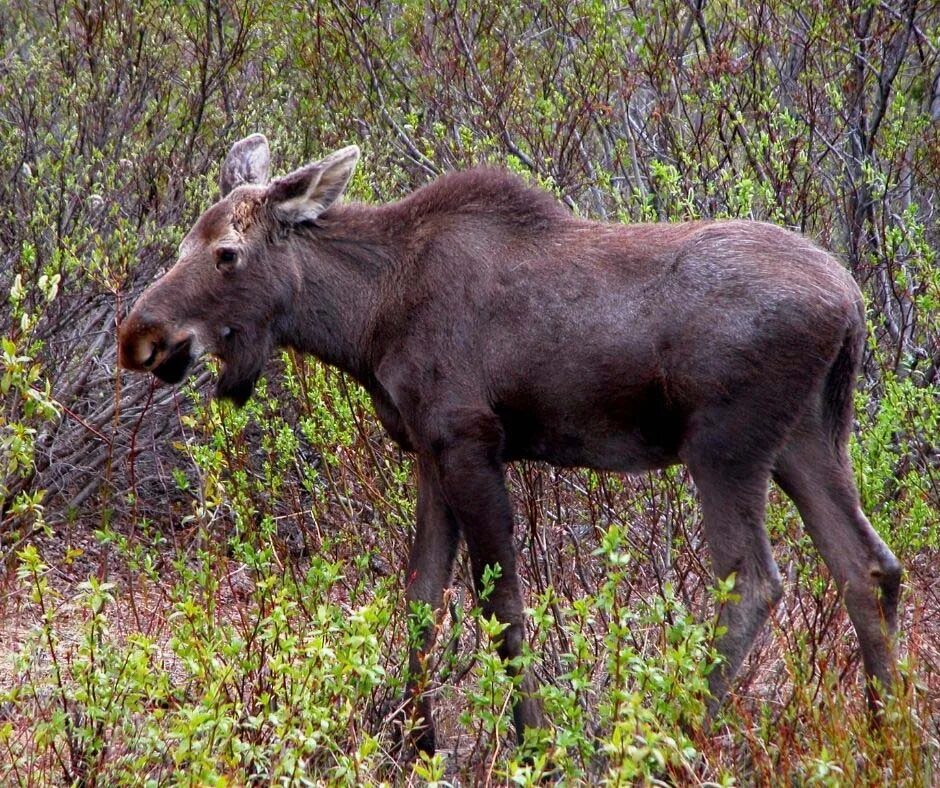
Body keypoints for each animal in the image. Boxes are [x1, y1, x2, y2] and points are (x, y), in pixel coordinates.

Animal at [119, 134, 904, 752]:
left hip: (726, 447)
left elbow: (501, 607)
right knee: (869, 566)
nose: (139, 337)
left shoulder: (470, 438)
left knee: (753, 582)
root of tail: (853, 303)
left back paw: (675, 736)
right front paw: (413, 743)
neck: (367, 318)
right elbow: (422, 598)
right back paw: (884, 733)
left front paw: (533, 747)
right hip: (808, 437)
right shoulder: (430, 449)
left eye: (226, 253)